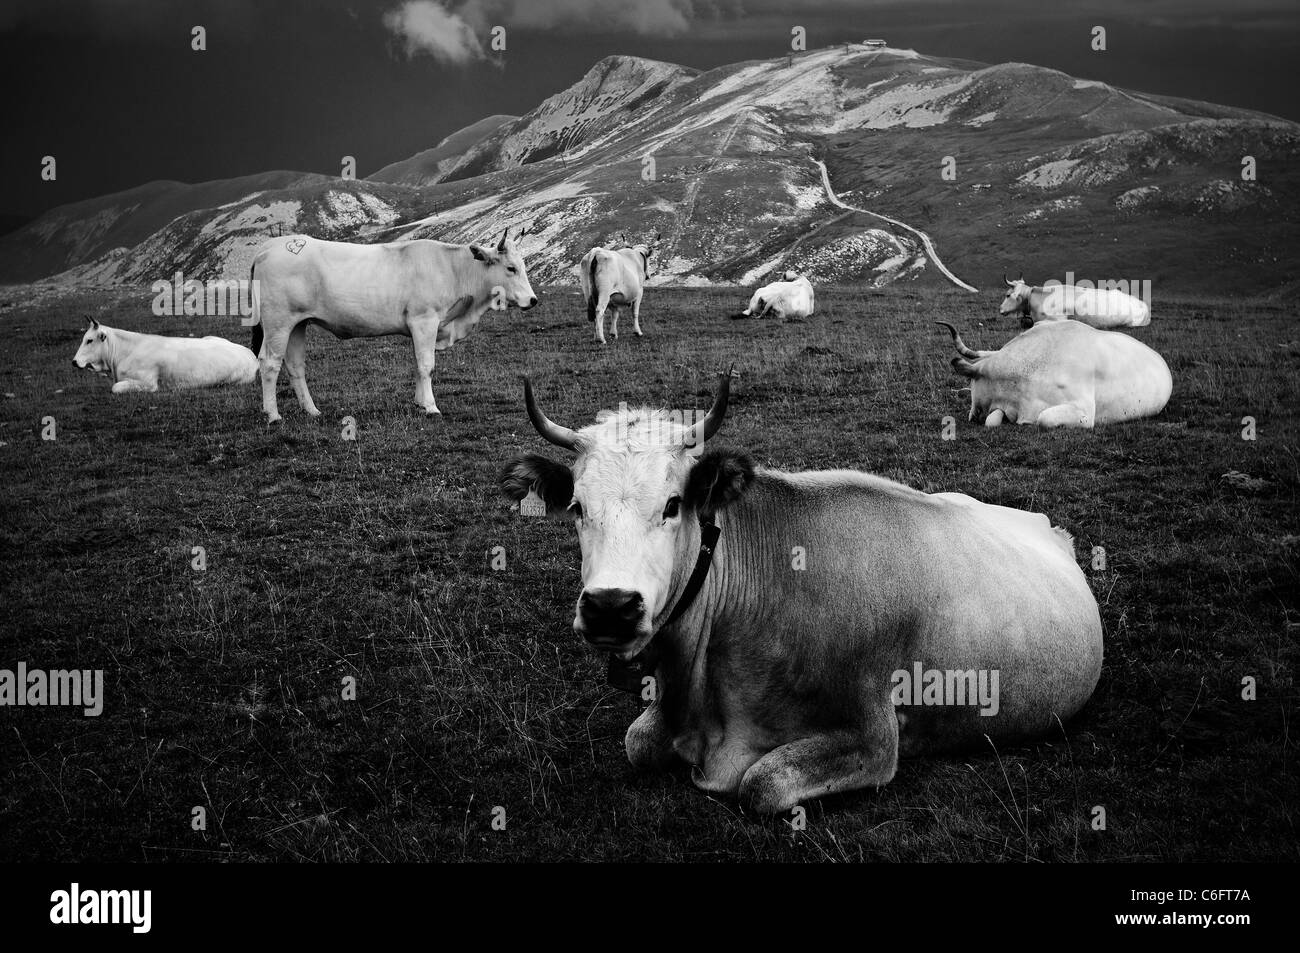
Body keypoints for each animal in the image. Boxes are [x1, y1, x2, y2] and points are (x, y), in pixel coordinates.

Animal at [249, 229, 537, 423]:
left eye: (523, 266)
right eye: (511, 268)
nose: (533, 300)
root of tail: (269, 246)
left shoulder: (420, 327)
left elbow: (418, 364)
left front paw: (420, 402)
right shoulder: (424, 320)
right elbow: (426, 365)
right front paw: (431, 406)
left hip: (298, 323)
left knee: (295, 366)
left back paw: (311, 410)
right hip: (278, 322)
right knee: (270, 363)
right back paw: (273, 414)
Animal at [498, 372, 1103, 813]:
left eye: (673, 505)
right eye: (577, 507)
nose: (611, 607)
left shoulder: (873, 737)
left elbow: (761, 784)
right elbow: (637, 743)